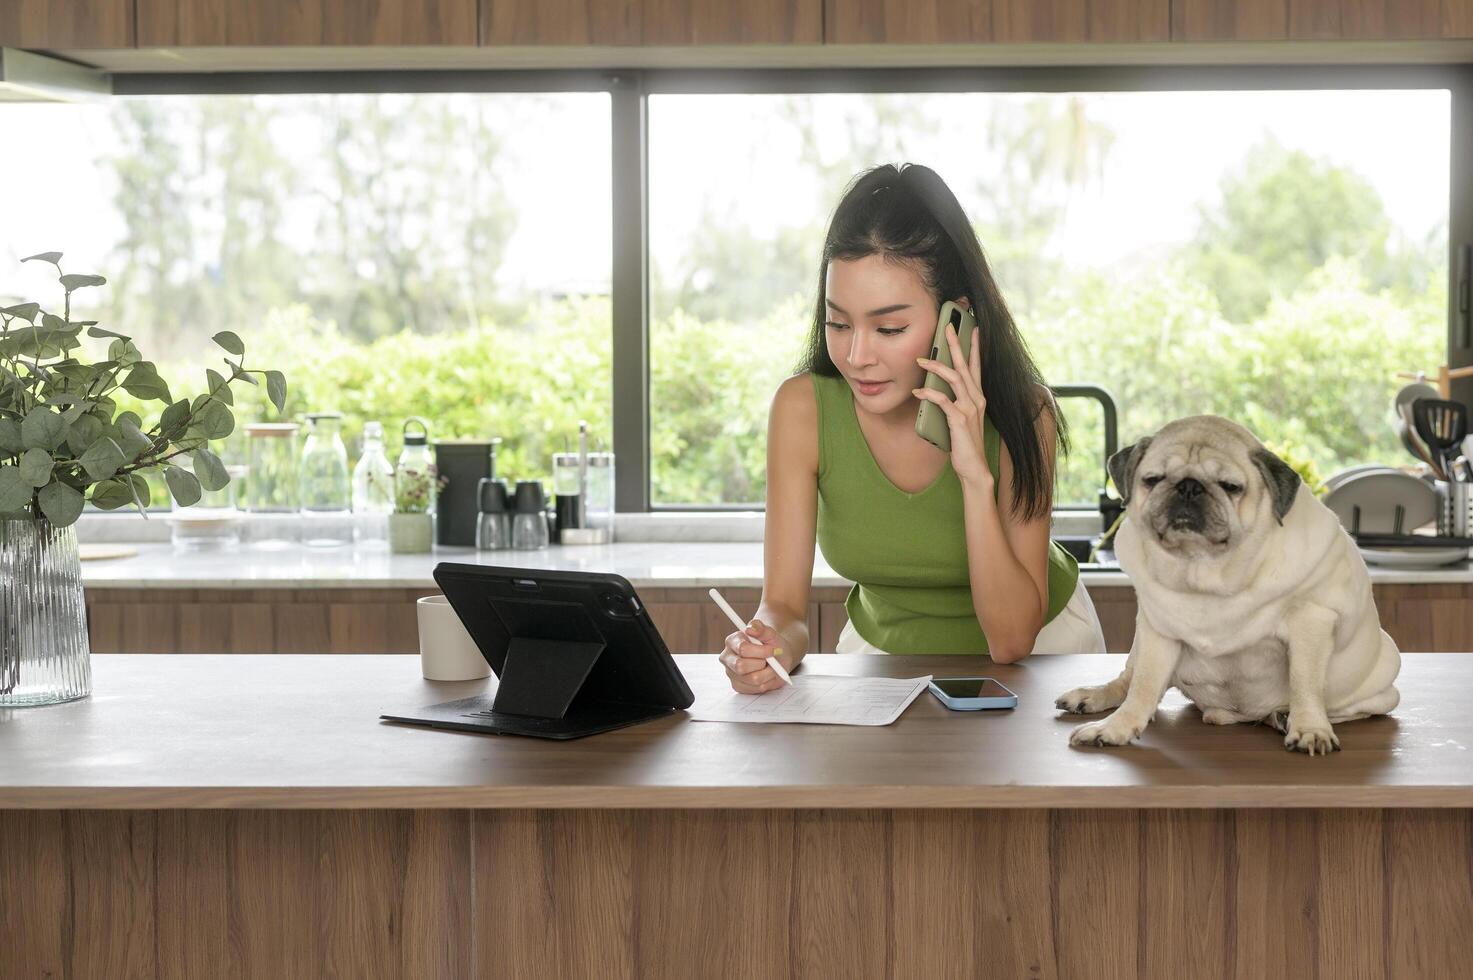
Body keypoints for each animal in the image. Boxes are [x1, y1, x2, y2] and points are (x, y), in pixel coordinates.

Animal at [1054, 415, 1396, 751]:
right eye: (1152, 479)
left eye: (1231, 487)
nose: (1188, 486)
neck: (1204, 567)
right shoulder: (1158, 630)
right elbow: (1144, 686)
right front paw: (1118, 727)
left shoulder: (1311, 620)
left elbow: (1305, 682)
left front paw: (1310, 728)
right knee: (1129, 680)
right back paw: (1093, 696)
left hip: (1380, 690)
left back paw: (1282, 716)